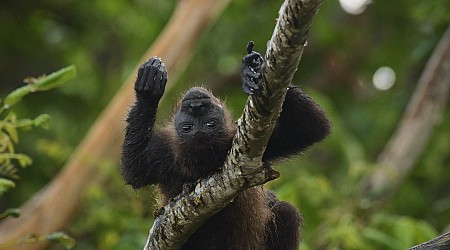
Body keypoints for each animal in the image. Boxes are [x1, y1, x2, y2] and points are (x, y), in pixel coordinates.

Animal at [119, 45, 330, 250]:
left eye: (210, 124)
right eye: (187, 127)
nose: (196, 105)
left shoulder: (248, 142)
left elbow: (310, 129)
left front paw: (254, 70)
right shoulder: (164, 154)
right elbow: (135, 170)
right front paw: (148, 92)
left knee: (287, 212)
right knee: (287, 211)